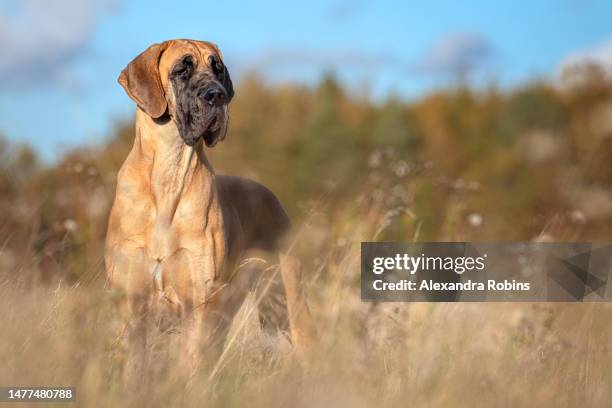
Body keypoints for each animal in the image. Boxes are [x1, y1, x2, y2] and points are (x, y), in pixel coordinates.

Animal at [106, 39, 316, 380]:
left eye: (217, 68)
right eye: (182, 69)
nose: (217, 95)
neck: (168, 174)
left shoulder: (198, 299)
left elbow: (191, 360)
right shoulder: (130, 301)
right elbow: (133, 364)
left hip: (288, 296)